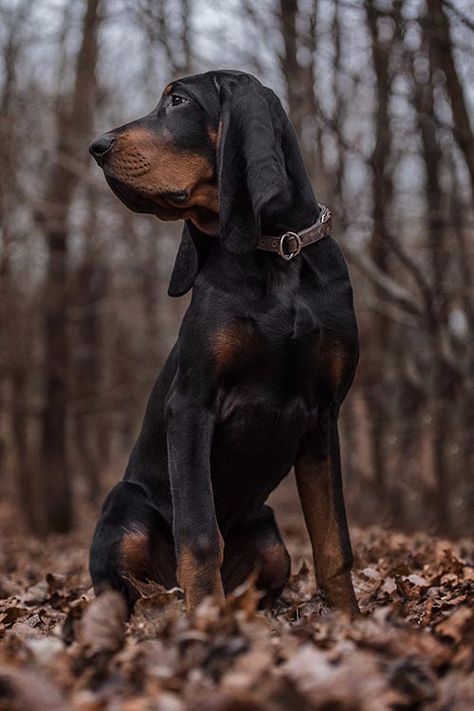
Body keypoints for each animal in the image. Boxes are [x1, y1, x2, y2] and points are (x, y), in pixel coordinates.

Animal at [88, 72, 360, 616]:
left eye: (178, 100)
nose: (96, 146)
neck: (278, 252)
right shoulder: (192, 405)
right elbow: (199, 534)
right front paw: (204, 621)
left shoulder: (325, 416)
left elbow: (333, 542)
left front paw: (353, 621)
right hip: (125, 510)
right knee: (131, 591)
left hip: (270, 537)